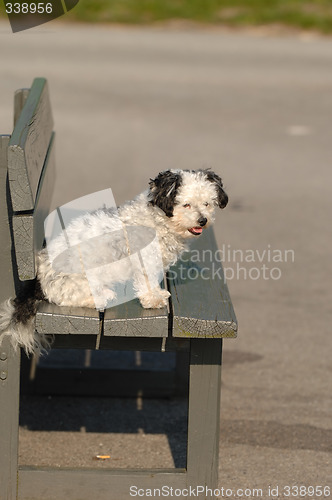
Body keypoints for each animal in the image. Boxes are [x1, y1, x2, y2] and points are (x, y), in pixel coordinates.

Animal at [0, 170, 228, 354]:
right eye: (186, 204)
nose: (202, 220)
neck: (158, 220)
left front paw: (158, 293)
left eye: (207, 203)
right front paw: (152, 300)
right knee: (67, 297)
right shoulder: (144, 259)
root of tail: (38, 281)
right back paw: (102, 297)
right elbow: (146, 283)